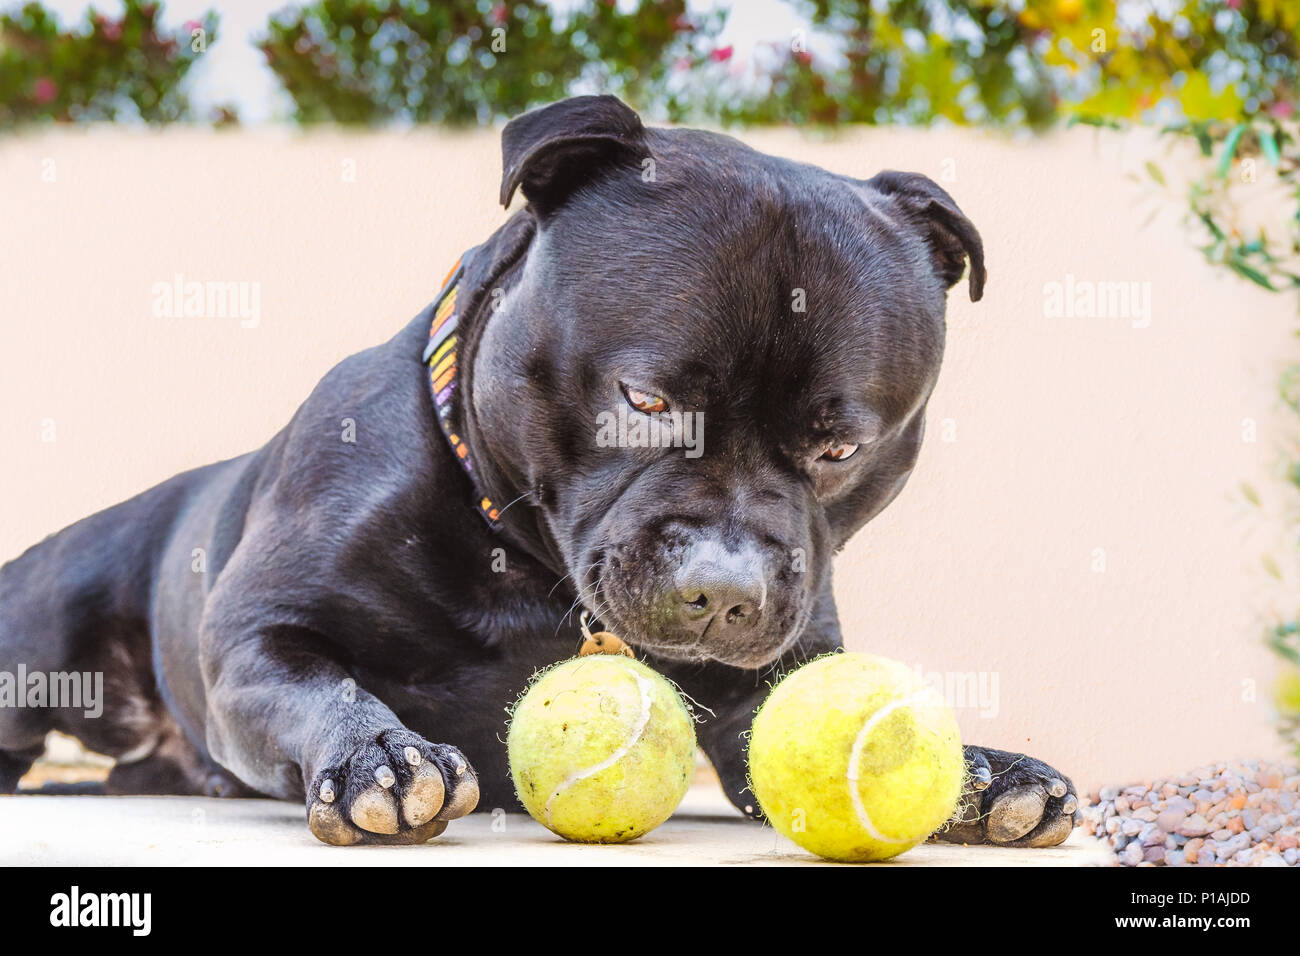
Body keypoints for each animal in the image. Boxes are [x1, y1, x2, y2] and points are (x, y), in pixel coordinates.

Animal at [0, 95, 1076, 842]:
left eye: (840, 448)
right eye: (645, 401)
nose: (725, 589)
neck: (515, 546)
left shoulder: (773, 677)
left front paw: (979, 775)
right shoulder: (255, 636)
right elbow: (319, 684)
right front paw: (378, 755)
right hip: (42, 635)